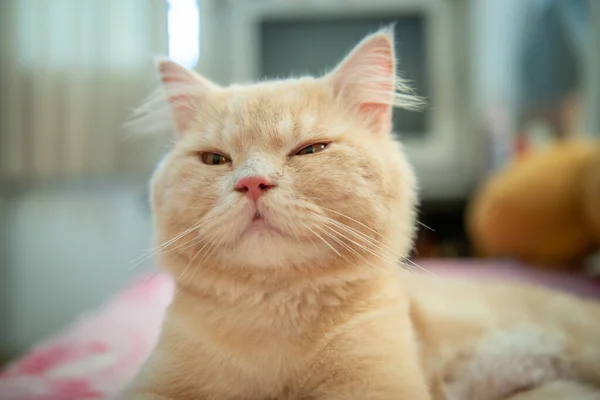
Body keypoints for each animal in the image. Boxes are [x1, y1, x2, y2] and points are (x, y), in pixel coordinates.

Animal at [122, 28, 600, 400]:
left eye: (310, 150)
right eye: (215, 160)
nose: (252, 183)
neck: (277, 313)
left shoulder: (378, 384)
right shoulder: (154, 386)